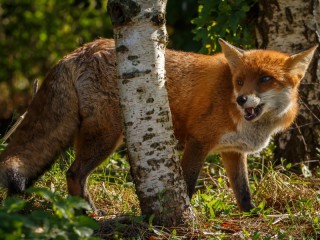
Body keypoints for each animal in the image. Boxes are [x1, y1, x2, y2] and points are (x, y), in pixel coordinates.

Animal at [0, 39, 316, 212]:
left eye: (264, 79)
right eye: (240, 81)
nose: (241, 99)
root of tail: (78, 51)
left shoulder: (232, 152)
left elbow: (244, 193)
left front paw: (252, 217)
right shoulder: (198, 142)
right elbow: (187, 185)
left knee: (72, 175)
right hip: (108, 136)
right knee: (74, 173)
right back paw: (89, 214)